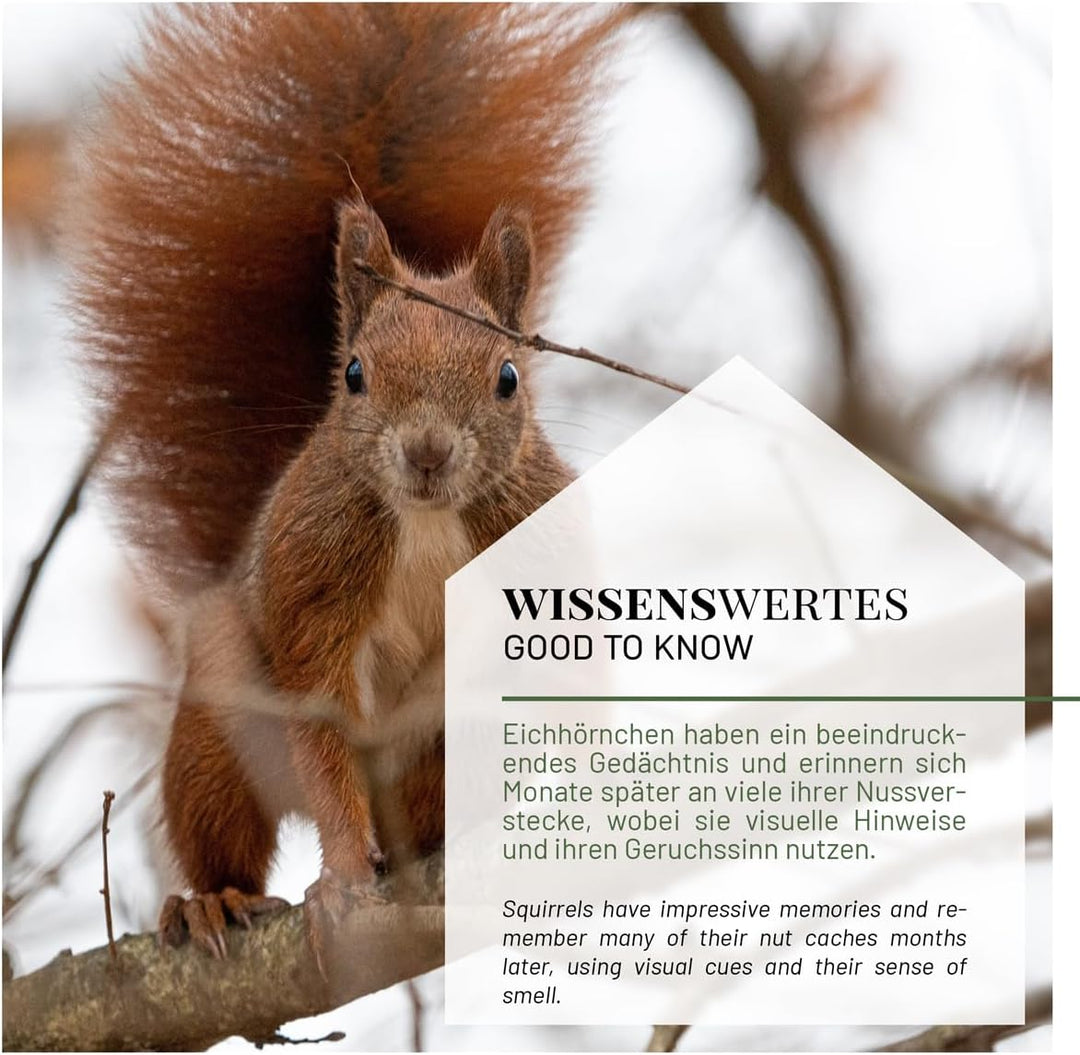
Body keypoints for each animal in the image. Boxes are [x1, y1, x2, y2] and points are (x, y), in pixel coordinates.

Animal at [68, 4, 627, 963]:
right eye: (355, 374)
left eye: (508, 378)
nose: (428, 452)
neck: (428, 519)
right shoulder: (316, 587)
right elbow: (324, 724)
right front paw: (337, 878)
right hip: (221, 717)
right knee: (227, 819)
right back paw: (212, 900)